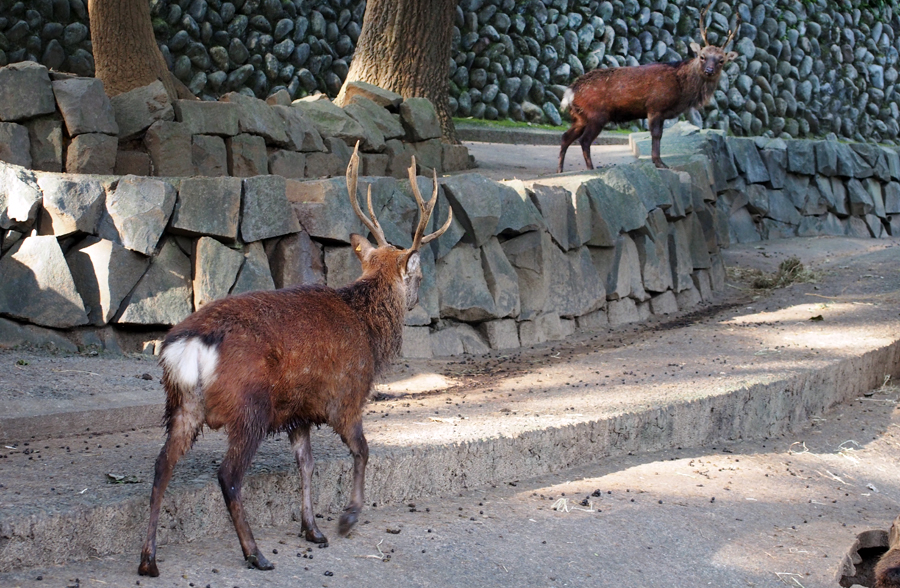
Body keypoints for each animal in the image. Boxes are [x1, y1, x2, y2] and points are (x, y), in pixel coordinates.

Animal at [136, 145, 450, 576]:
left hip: (183, 403)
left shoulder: (298, 411)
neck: (369, 333)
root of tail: (188, 346)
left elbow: (307, 464)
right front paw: (347, 518)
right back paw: (255, 553)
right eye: (418, 278)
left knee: (161, 466)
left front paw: (312, 529)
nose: (418, 300)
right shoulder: (346, 397)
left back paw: (148, 559)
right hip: (248, 406)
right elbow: (362, 451)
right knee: (228, 475)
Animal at [560, 1, 740, 172]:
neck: (682, 91)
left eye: (721, 60)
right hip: (597, 114)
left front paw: (659, 162)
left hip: (580, 117)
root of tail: (570, 91)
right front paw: (659, 163)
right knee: (584, 140)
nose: (709, 70)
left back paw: (560, 169)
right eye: (702, 56)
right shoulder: (655, 106)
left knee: (566, 137)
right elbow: (656, 135)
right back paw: (590, 168)